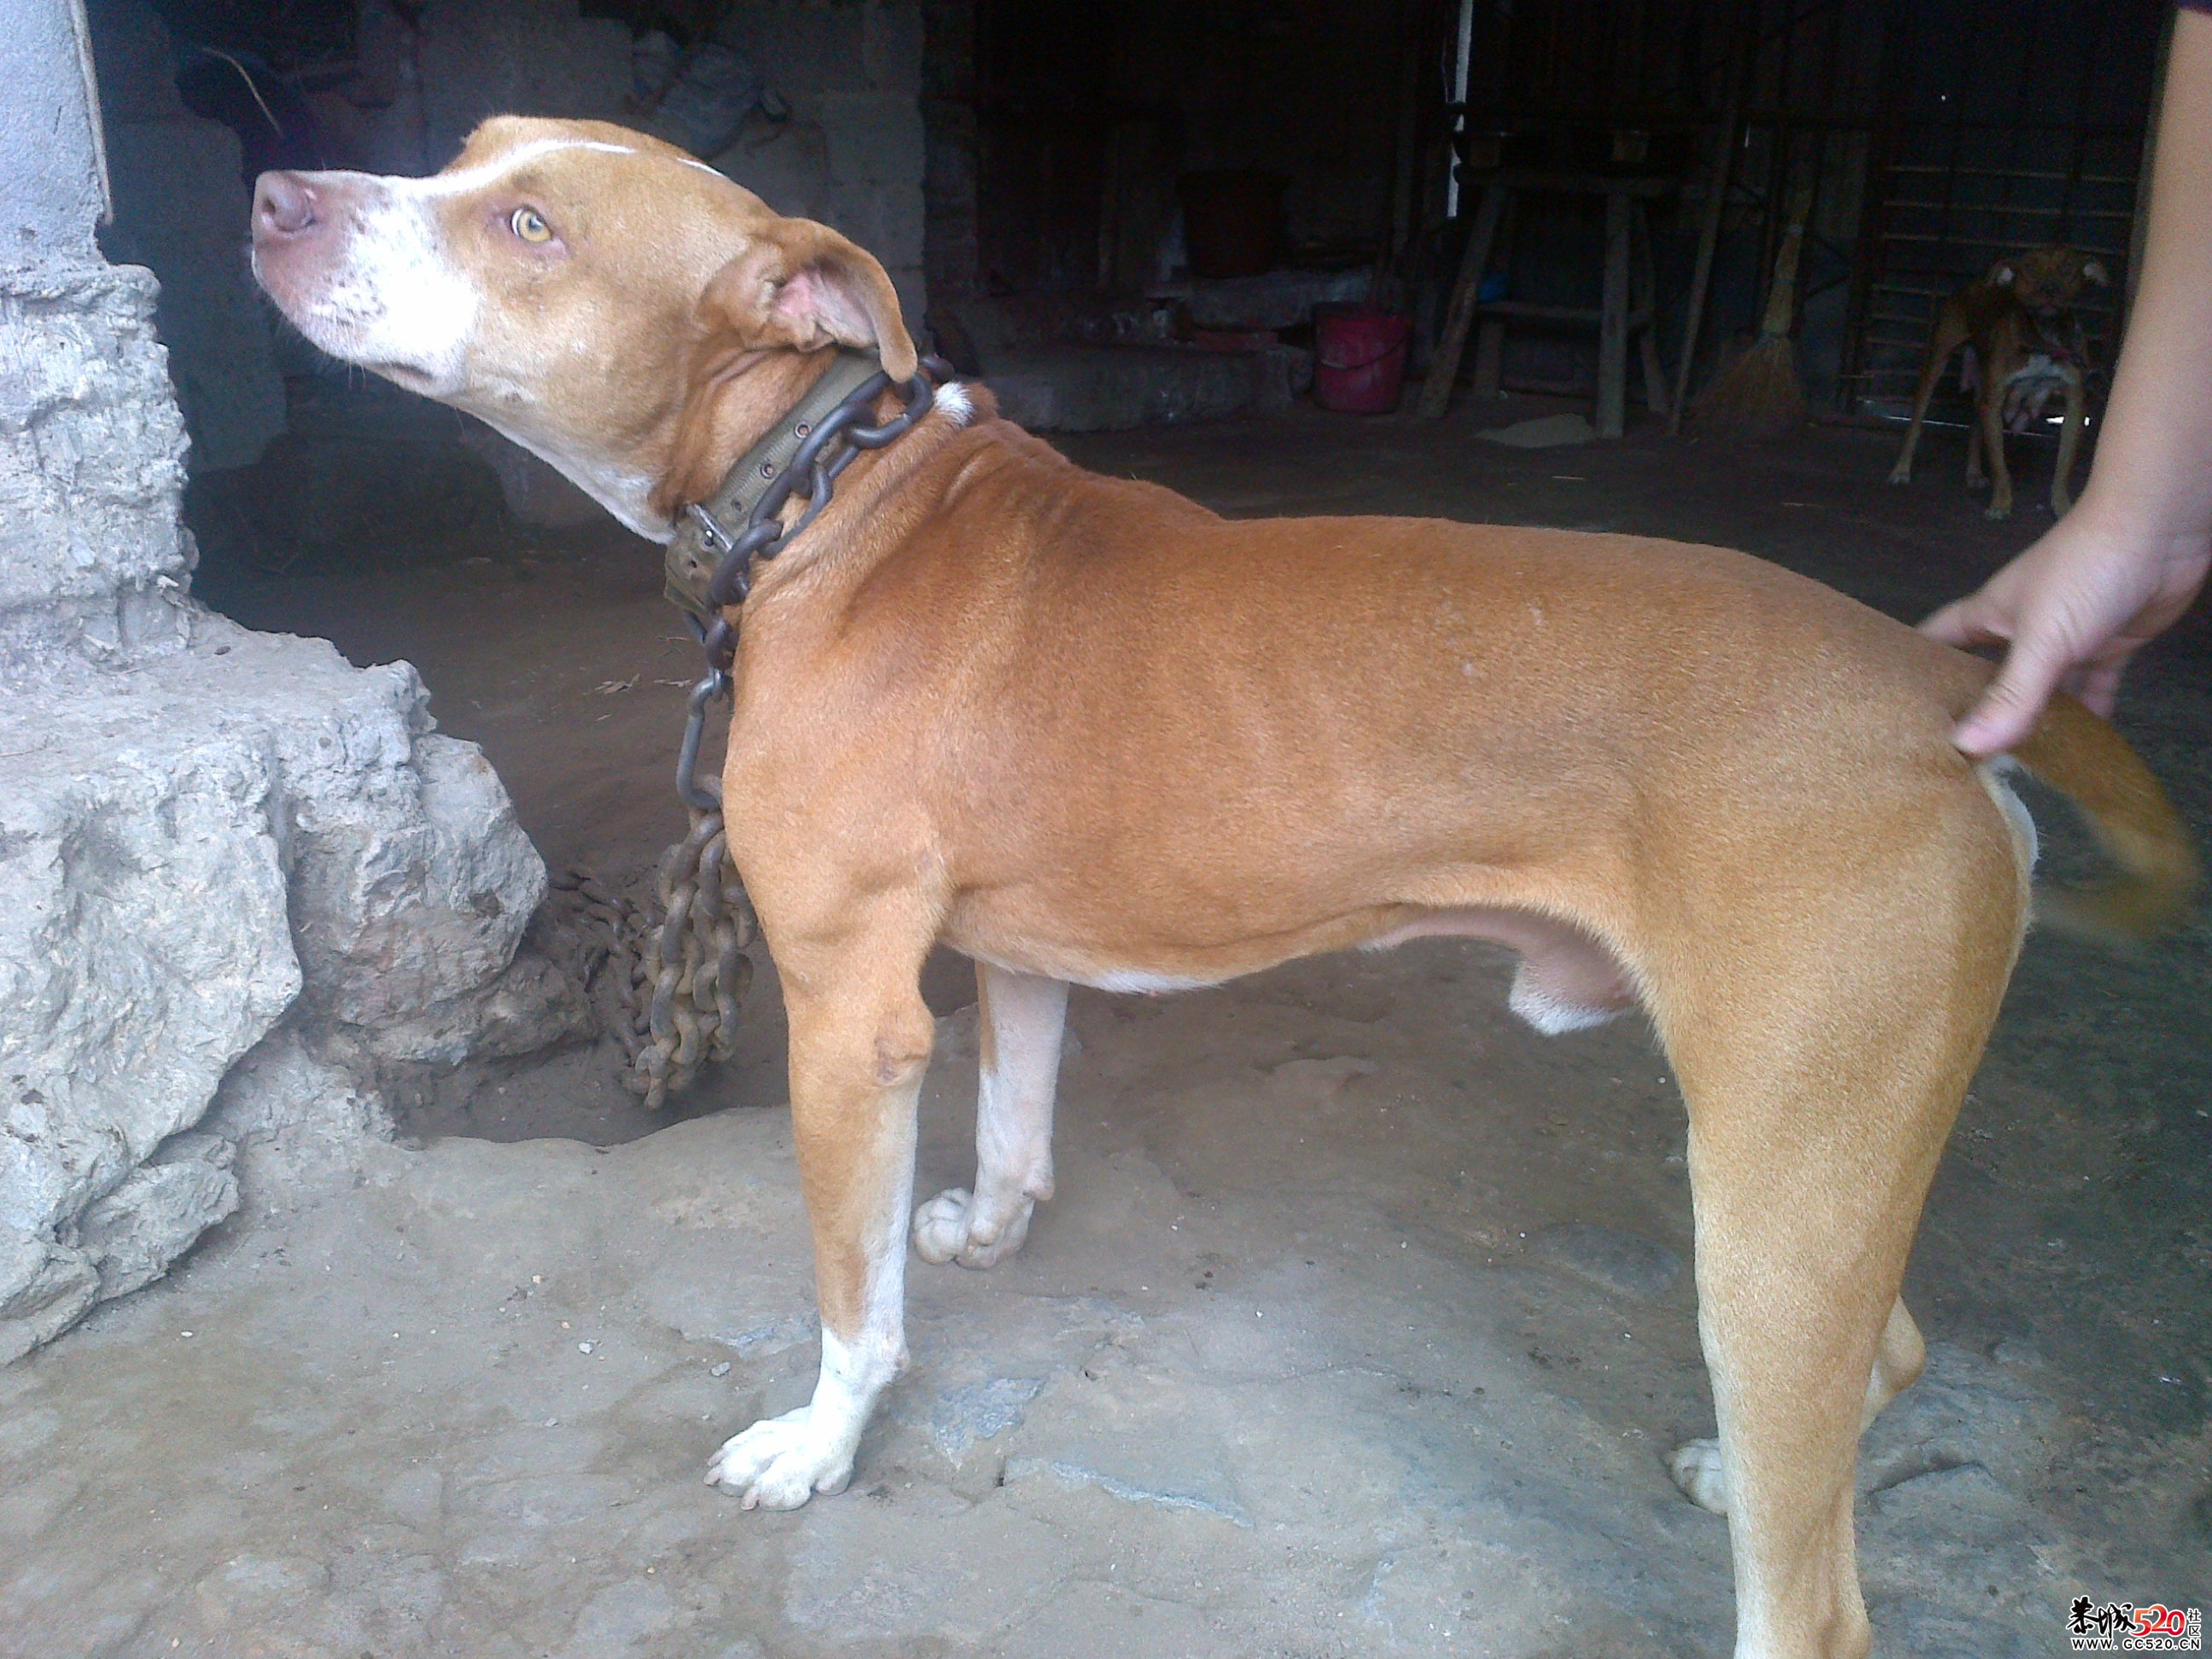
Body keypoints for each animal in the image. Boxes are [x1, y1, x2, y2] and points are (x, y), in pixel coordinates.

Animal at [1887, 246, 2108, 520]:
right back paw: (1901, 469)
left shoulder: (2075, 406)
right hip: (1937, 363)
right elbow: (1999, 465)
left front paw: (2063, 505)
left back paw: (1973, 473)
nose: (2049, 289)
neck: (2043, 339)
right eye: (2029, 268)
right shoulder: (1994, 403)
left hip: (1983, 386)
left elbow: (2063, 467)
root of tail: (1976, 284)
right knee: (1916, 424)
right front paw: (2001, 504)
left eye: (2068, 267)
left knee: (1975, 425)